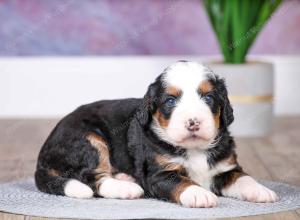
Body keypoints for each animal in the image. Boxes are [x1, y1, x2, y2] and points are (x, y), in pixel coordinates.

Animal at [35, 60, 278, 208]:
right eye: (170, 101)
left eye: (208, 98)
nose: (193, 122)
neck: (194, 149)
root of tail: (43, 154)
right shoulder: (158, 174)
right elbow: (180, 181)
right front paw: (199, 193)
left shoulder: (225, 167)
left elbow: (243, 178)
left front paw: (260, 191)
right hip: (89, 140)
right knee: (93, 178)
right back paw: (127, 188)